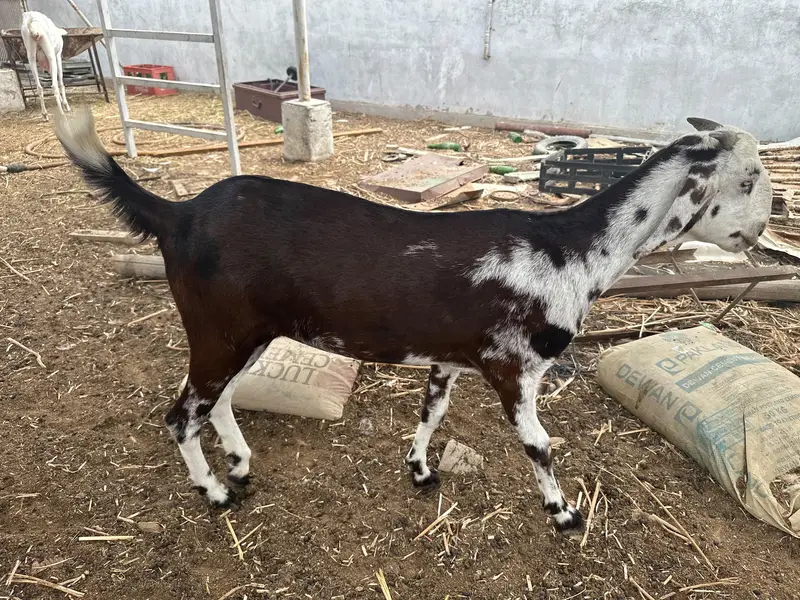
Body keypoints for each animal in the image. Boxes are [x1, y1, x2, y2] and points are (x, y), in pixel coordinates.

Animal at [54, 108, 771, 533]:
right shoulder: (514, 368)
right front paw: (563, 513)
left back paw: (239, 465)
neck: (569, 251)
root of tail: (177, 216)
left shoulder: (449, 360)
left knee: (217, 399)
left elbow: (432, 413)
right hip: (219, 329)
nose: (765, 225)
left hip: (243, 334)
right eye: (746, 180)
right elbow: (538, 444)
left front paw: (422, 471)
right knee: (182, 413)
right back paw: (215, 493)